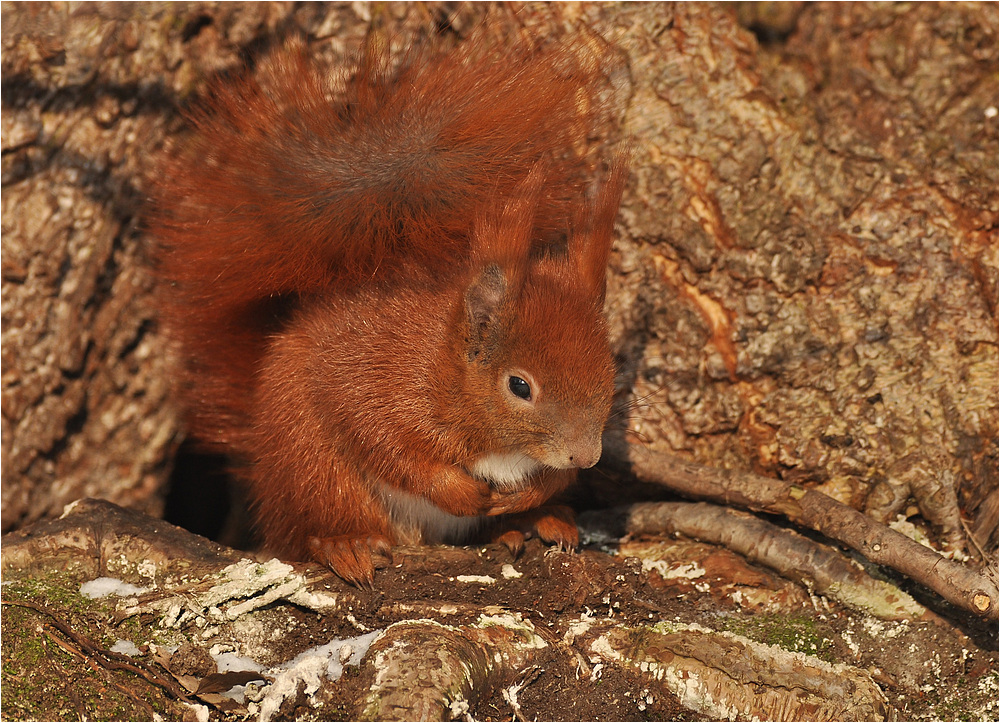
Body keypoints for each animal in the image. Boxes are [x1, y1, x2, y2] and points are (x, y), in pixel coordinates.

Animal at [152, 35, 624, 588]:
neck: (446, 365)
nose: (587, 455)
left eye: (609, 369)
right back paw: (345, 545)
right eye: (519, 386)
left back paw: (537, 520)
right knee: (314, 524)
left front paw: (534, 494)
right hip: (311, 464)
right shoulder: (378, 383)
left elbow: (550, 478)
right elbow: (388, 445)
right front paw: (461, 490)